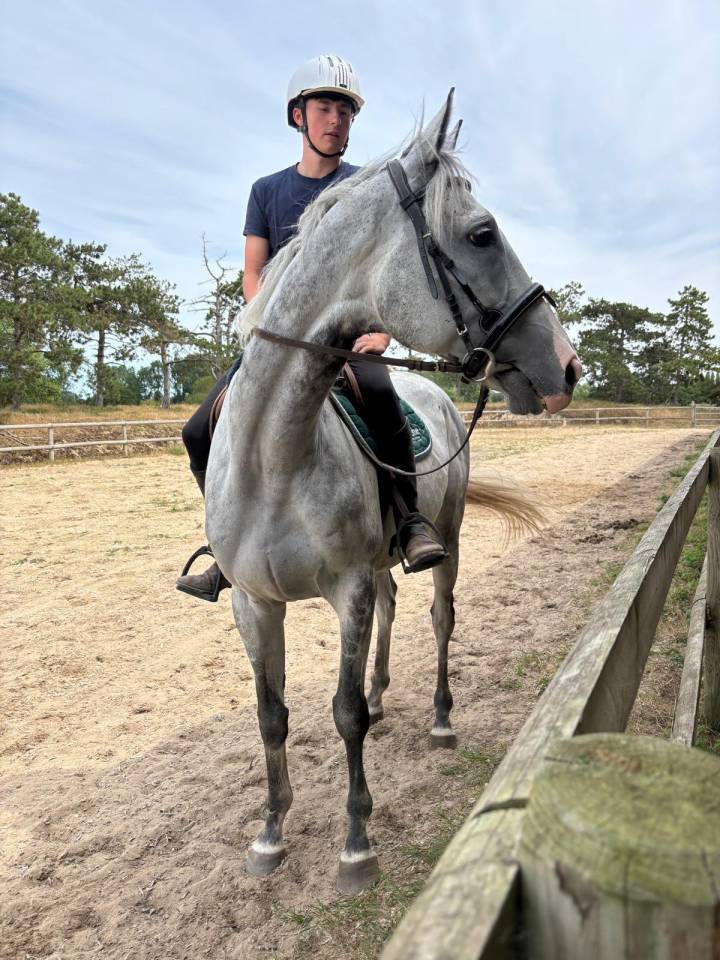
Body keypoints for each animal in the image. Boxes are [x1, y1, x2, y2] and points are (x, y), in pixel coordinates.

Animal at [205, 90, 580, 894]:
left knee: (438, 617)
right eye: (481, 234)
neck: (274, 459)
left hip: (450, 540)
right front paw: (270, 835)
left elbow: (342, 712)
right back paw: (384, 692)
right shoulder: (254, 602)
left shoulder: (345, 586)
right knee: (393, 606)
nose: (566, 366)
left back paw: (438, 718)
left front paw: (355, 844)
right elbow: (271, 715)